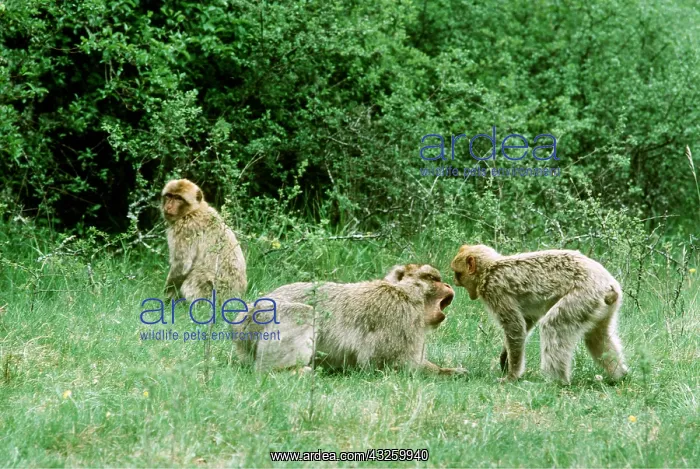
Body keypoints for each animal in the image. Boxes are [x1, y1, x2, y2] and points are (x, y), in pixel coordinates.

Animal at [236, 264, 466, 375]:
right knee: (304, 313)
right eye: (432, 279)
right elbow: (386, 363)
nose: (448, 285)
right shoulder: (400, 317)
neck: (406, 293)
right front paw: (446, 373)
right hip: (265, 317)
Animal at [450, 244, 628, 384]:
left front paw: (512, 375)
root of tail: (609, 285)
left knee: (554, 326)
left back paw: (555, 381)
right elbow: (526, 322)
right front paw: (505, 357)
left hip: (584, 296)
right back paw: (619, 375)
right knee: (597, 338)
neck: (489, 268)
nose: (455, 282)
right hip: (599, 306)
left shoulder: (494, 290)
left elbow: (515, 327)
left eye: (458, 273)